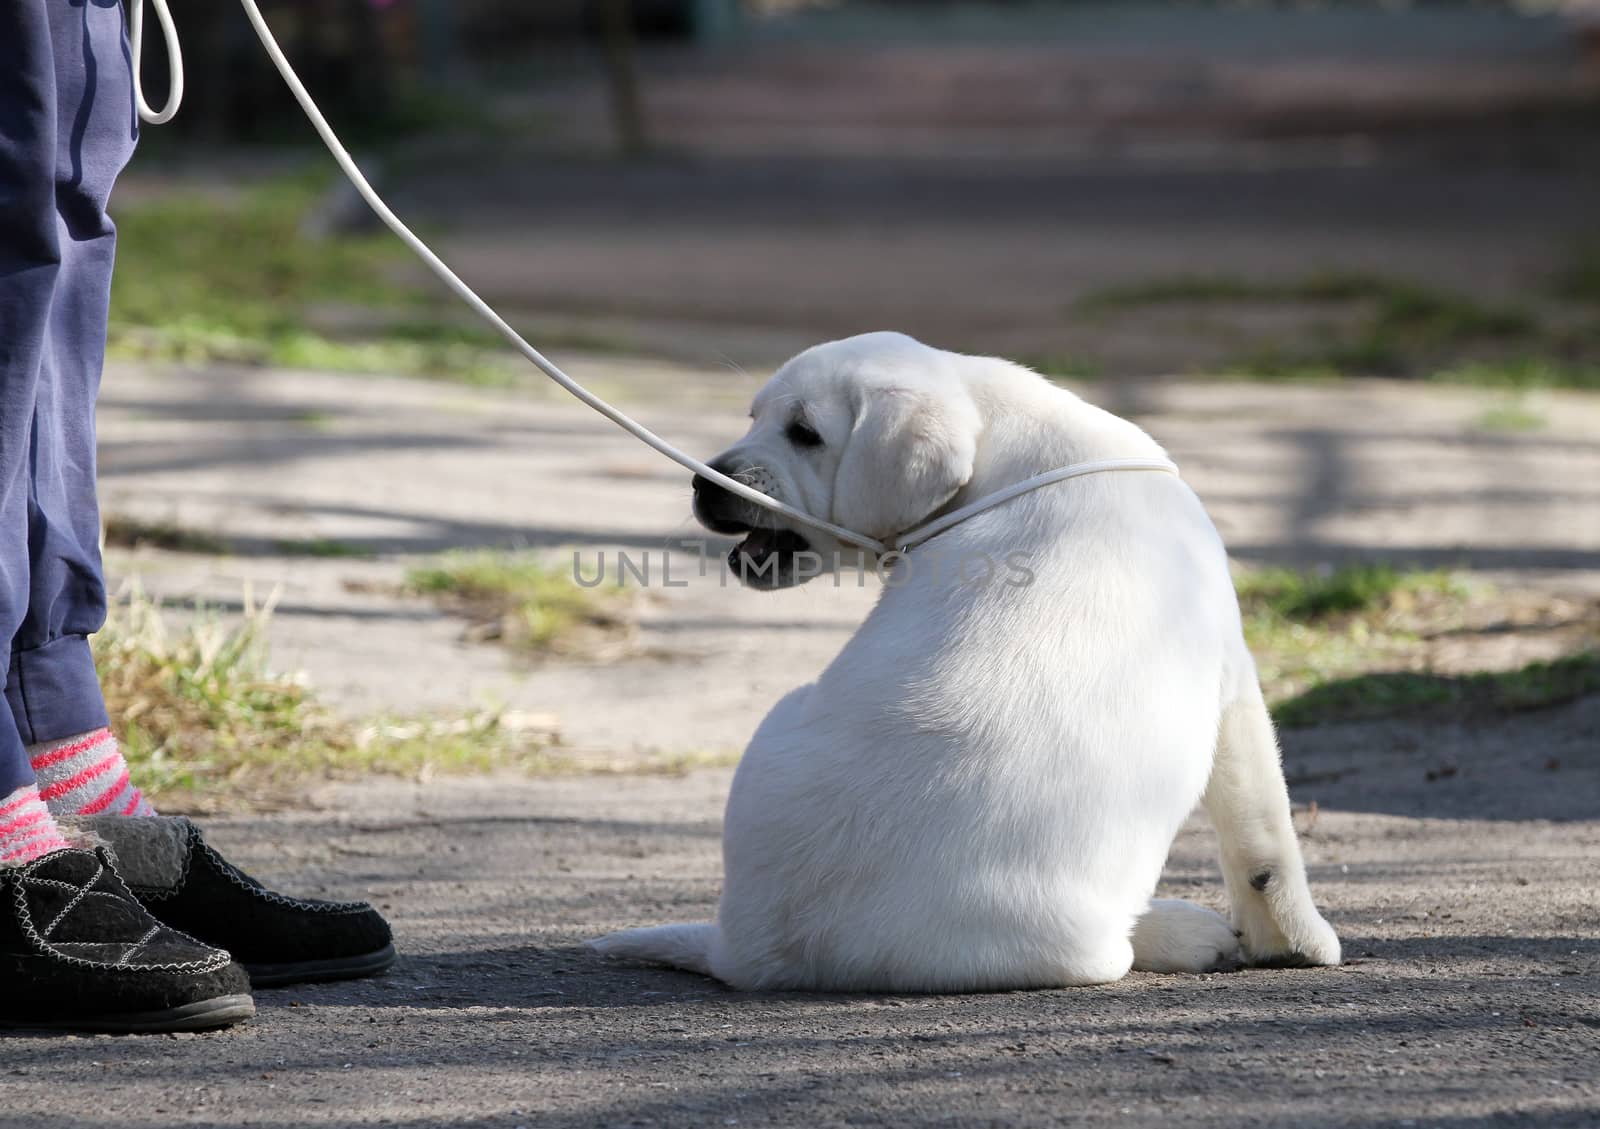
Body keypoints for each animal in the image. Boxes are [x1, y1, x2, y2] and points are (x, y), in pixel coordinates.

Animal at [588, 327, 1337, 985]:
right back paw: (1187, 930)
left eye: (804, 433)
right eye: (755, 417)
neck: (1004, 449)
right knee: (1115, 950)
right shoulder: (1234, 683)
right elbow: (1263, 840)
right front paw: (1298, 940)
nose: (704, 482)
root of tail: (741, 945)